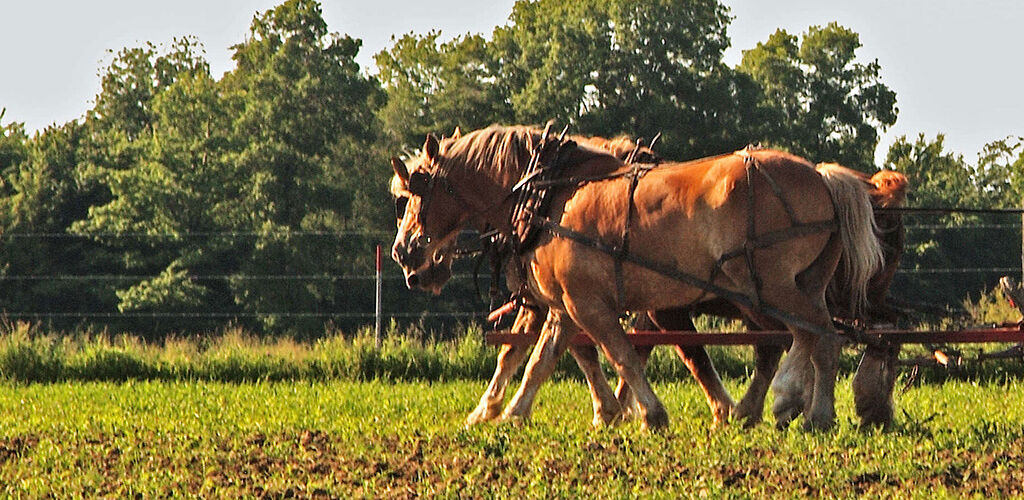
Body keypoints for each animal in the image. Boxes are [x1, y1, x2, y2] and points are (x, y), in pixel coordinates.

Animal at [387, 123, 884, 430]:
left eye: (412, 192)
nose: (404, 253)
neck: (550, 195)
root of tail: (821, 176)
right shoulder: (565, 304)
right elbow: (539, 359)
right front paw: (508, 414)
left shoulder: (588, 303)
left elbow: (620, 352)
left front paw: (647, 413)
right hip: (794, 286)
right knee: (805, 340)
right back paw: (786, 409)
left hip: (772, 286)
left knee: (815, 336)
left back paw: (803, 409)